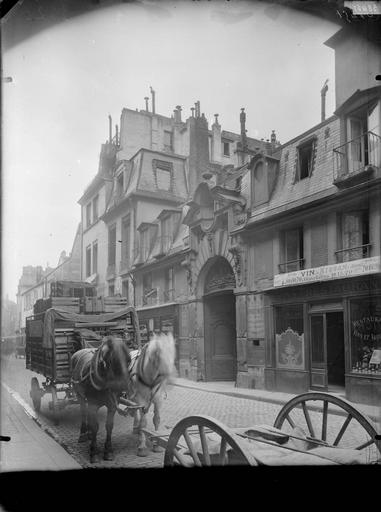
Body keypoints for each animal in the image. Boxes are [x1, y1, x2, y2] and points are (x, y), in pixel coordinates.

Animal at [71, 336, 131, 464]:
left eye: (128, 360)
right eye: (112, 360)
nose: (125, 386)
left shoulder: (113, 405)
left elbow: (109, 425)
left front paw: (108, 451)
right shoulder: (93, 404)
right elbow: (95, 426)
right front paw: (94, 452)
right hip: (79, 394)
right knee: (83, 411)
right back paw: (83, 434)